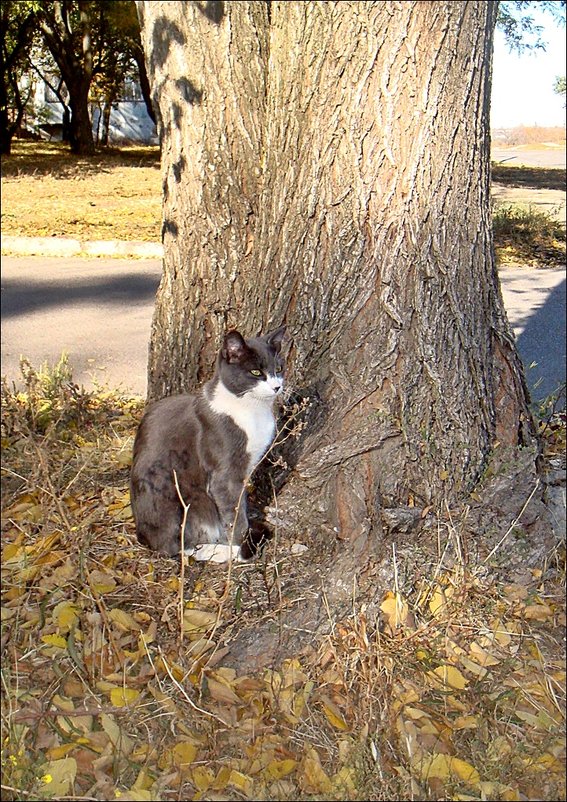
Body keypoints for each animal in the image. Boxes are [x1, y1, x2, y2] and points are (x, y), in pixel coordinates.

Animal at [131, 324, 286, 564]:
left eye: (278, 368)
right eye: (256, 372)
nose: (277, 387)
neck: (251, 409)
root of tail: (143, 537)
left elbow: (240, 502)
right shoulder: (225, 473)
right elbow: (233, 511)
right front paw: (240, 544)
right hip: (177, 500)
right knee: (178, 547)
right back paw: (219, 551)